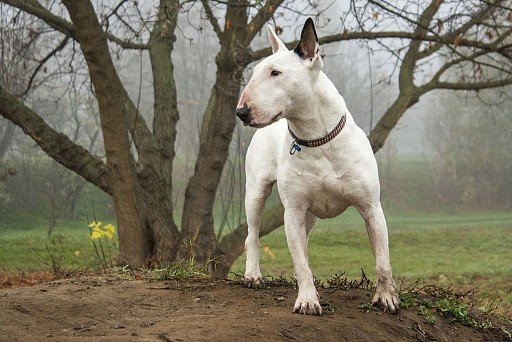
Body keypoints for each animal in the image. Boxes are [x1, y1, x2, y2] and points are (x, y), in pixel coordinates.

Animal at [236, 18, 400, 316]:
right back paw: (253, 275)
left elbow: (382, 260)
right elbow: (300, 261)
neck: (315, 140)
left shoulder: (371, 207)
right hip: (256, 190)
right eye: (255, 72)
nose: (241, 112)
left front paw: (386, 298)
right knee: (253, 234)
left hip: (311, 215)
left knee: (304, 242)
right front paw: (307, 300)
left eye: (275, 72)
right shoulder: (293, 211)